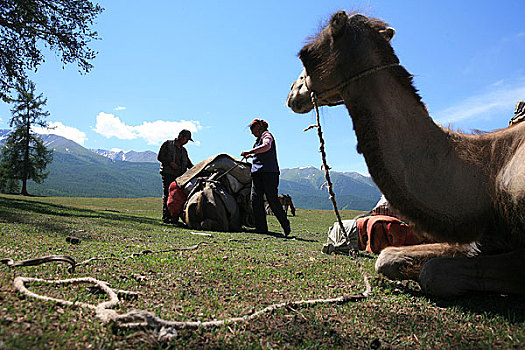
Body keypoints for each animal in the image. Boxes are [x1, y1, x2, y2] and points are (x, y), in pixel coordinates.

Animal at [286, 10, 524, 296]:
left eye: (306, 54)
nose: (291, 93)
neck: (489, 171)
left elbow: (433, 272)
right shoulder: (482, 238)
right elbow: (387, 257)